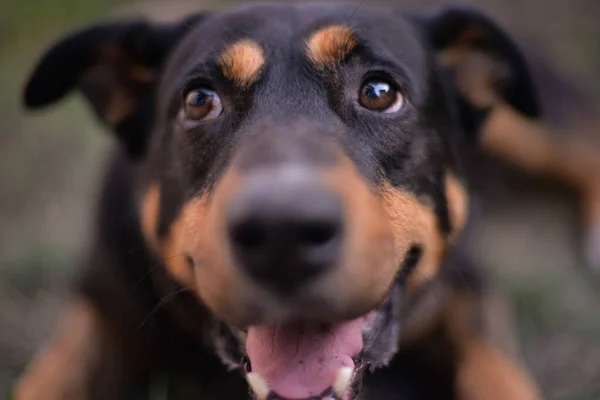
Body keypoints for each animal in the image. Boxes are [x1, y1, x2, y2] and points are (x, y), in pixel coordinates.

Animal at [12, 3, 544, 400]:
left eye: (379, 91)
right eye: (199, 100)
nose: (282, 234)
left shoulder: (468, 289)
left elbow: (500, 374)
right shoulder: (100, 304)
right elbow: (47, 377)